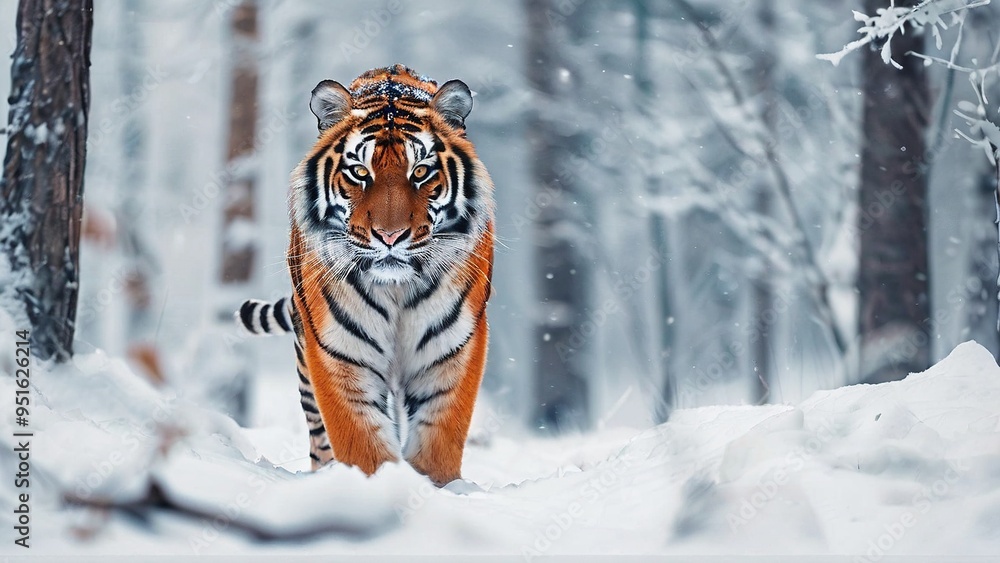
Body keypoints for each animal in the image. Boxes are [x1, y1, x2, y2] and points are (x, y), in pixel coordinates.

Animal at [236, 65, 494, 486]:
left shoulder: (453, 348)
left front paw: (436, 488)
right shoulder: (338, 350)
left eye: (421, 171)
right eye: (359, 172)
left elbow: (439, 439)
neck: (397, 289)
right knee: (319, 437)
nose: (390, 236)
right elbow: (361, 442)